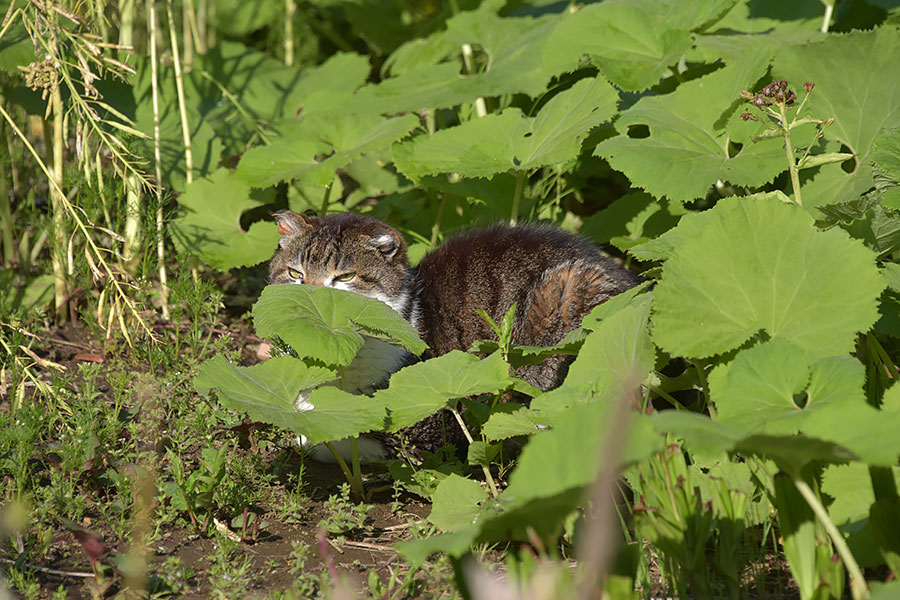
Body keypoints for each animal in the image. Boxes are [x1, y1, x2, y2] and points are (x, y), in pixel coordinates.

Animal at [266, 209, 640, 462]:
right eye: (296, 273)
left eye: (344, 277)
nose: (310, 296)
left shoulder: (422, 432)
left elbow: (333, 436)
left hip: (565, 294)